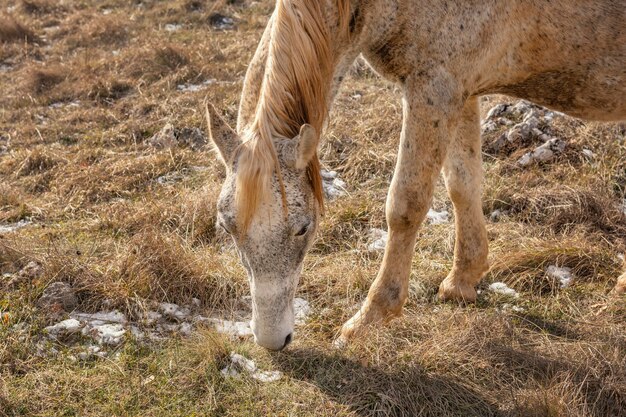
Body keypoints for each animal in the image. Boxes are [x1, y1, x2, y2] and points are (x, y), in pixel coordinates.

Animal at [204, 0, 620, 350]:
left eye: (304, 227)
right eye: (226, 227)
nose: (272, 340)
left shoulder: (435, 87)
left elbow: (405, 205)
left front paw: (368, 319)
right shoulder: (461, 92)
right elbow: (462, 184)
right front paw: (462, 281)